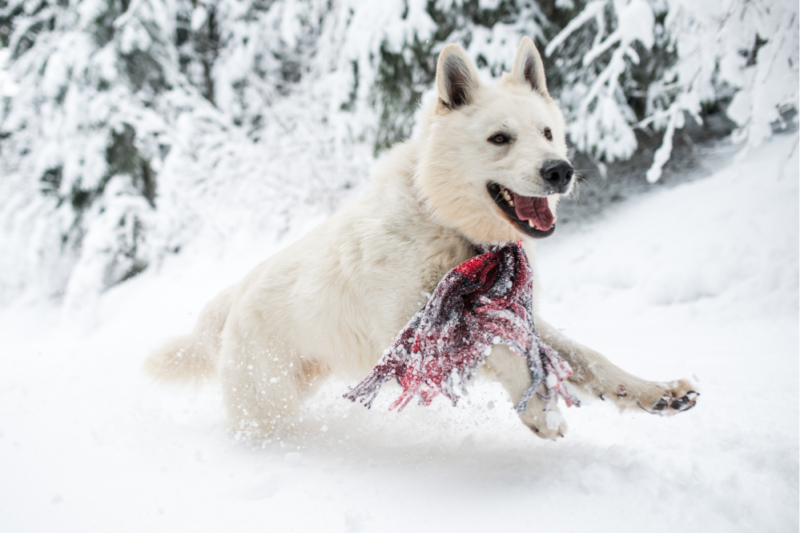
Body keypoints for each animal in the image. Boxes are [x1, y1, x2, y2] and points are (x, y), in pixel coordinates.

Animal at [147, 36, 696, 436]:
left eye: (546, 133)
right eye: (500, 138)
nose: (560, 170)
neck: (444, 223)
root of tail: (232, 297)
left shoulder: (518, 316)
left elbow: (586, 358)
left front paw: (656, 392)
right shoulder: (416, 330)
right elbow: (499, 350)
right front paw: (539, 410)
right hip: (267, 403)